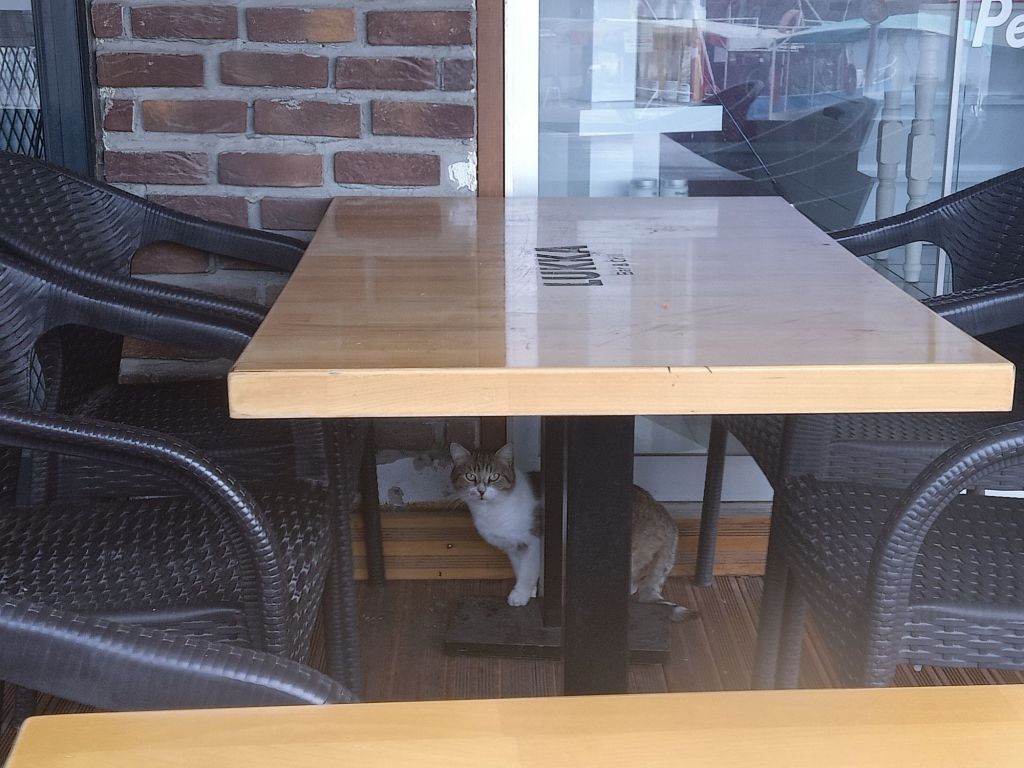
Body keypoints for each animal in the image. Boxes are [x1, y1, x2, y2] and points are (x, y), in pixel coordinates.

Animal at [450, 442, 691, 620]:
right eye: (470, 476)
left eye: (494, 477)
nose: (481, 490)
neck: (493, 512)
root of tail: (663, 512)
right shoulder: (514, 548)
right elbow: (521, 569)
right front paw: (531, 591)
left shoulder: (535, 541)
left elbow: (528, 570)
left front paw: (521, 594)